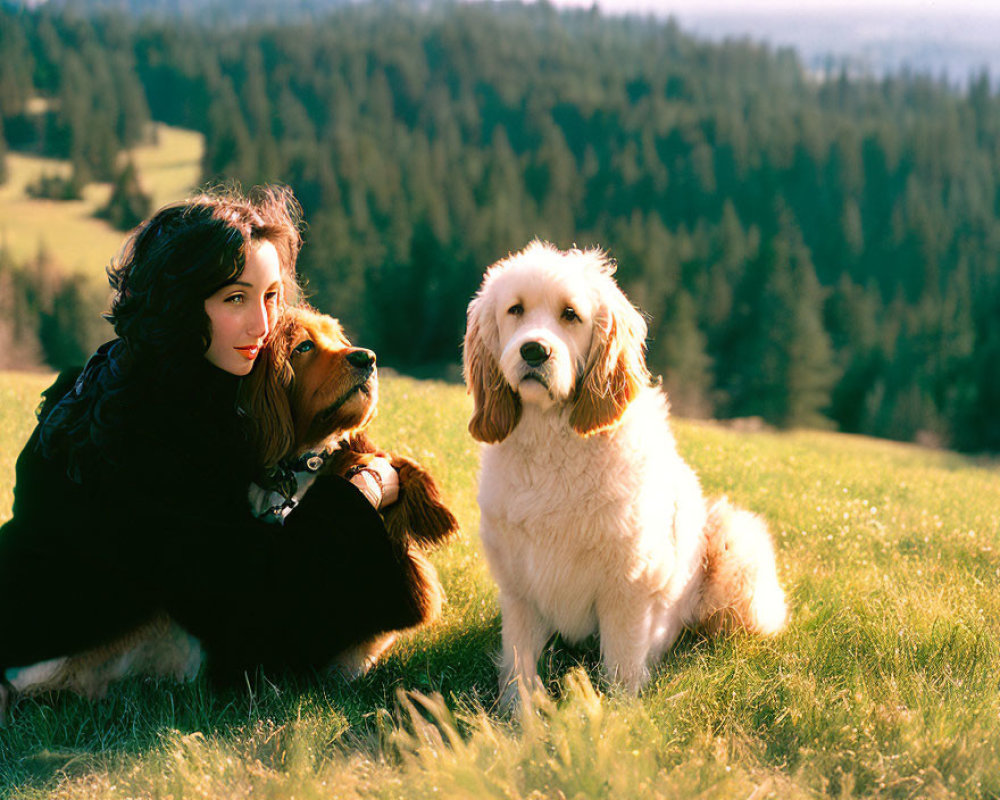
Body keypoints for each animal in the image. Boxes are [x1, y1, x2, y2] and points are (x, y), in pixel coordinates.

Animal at [462, 241, 788, 704]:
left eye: (570, 314)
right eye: (515, 310)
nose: (533, 351)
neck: (552, 444)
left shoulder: (627, 588)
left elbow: (620, 669)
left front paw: (618, 715)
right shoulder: (520, 589)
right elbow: (519, 669)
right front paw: (516, 714)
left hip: (738, 551)